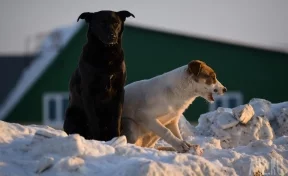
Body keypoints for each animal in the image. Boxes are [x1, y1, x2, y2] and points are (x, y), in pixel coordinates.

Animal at [63, 10, 135, 141]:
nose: (112, 36)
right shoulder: (88, 92)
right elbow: (93, 120)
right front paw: (97, 140)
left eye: (116, 23)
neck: (106, 54)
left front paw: (116, 139)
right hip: (72, 116)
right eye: (102, 23)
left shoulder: (119, 91)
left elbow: (116, 119)